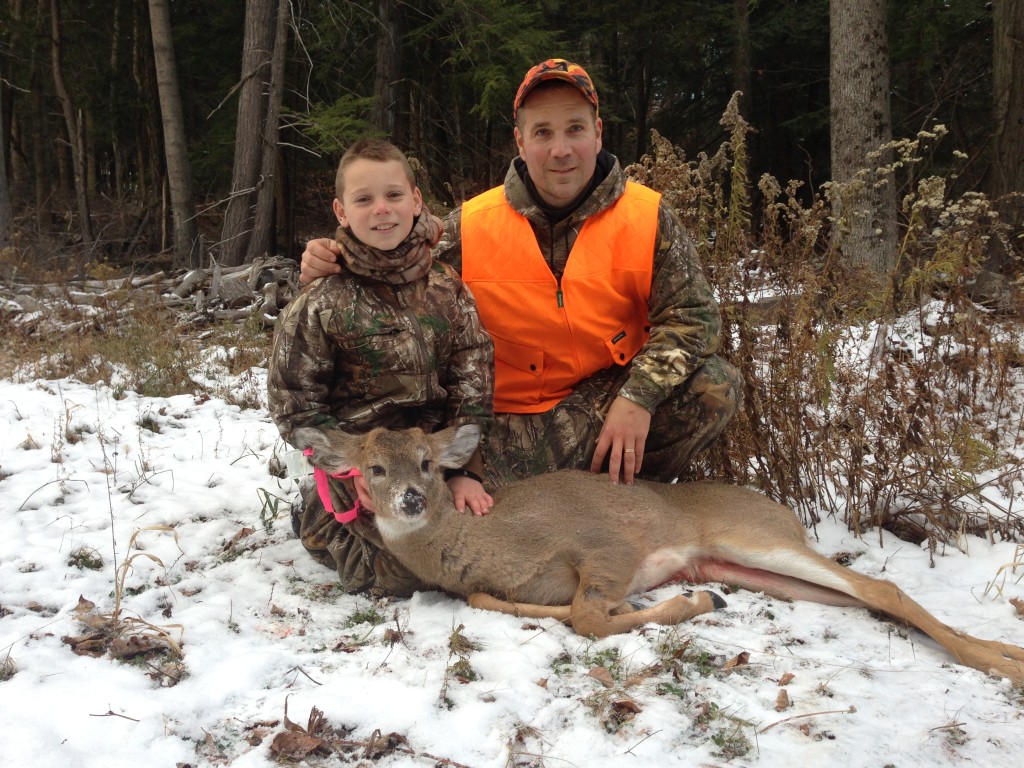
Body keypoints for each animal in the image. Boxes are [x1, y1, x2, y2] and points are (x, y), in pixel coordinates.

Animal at [294, 423, 1024, 684]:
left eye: (427, 462)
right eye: (372, 469)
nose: (413, 498)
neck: (485, 541)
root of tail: (781, 509)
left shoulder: (606, 546)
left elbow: (589, 616)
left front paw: (687, 605)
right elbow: (496, 599)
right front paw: (686, 602)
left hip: (753, 538)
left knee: (879, 588)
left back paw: (1002, 663)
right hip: (749, 564)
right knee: (861, 598)